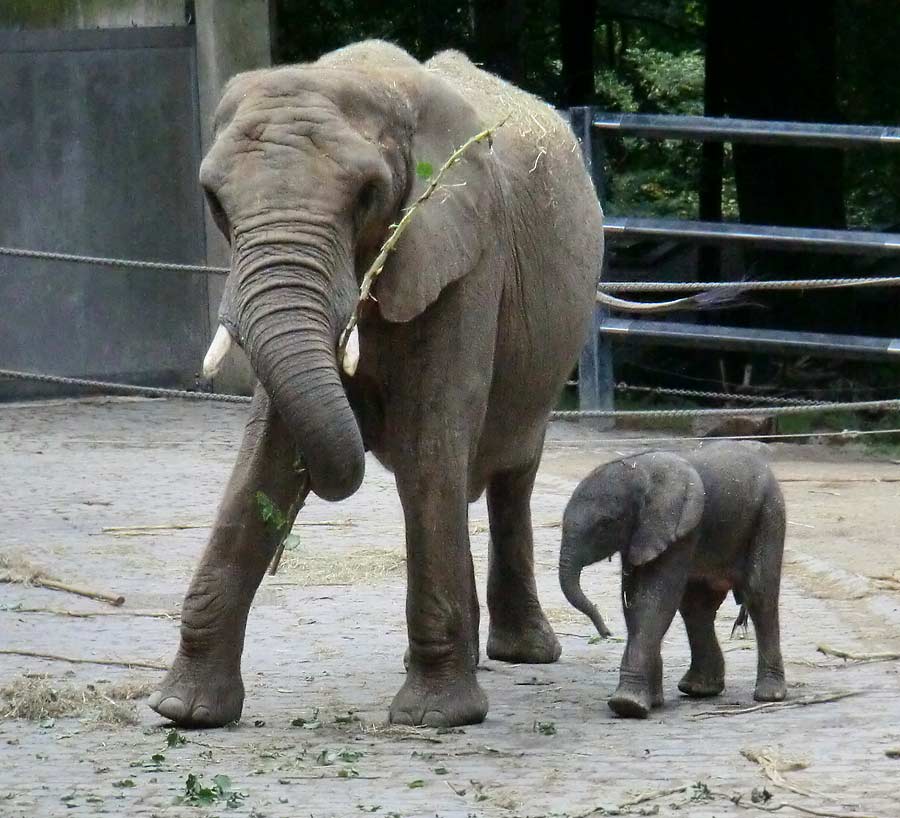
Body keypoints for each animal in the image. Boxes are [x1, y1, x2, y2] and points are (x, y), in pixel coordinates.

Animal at [149, 39, 604, 728]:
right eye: (214, 201)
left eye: (367, 195)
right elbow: (267, 457)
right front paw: (186, 711)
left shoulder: (467, 250)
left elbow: (429, 440)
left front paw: (434, 717)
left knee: (505, 469)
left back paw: (523, 653)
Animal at [560, 440, 784, 712]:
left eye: (605, 524)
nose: (606, 633)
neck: (640, 469)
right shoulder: (641, 535)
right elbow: (634, 602)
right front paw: (650, 701)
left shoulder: (679, 529)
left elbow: (654, 600)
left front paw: (627, 705)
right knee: (696, 607)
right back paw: (698, 689)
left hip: (769, 513)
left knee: (760, 594)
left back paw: (769, 695)